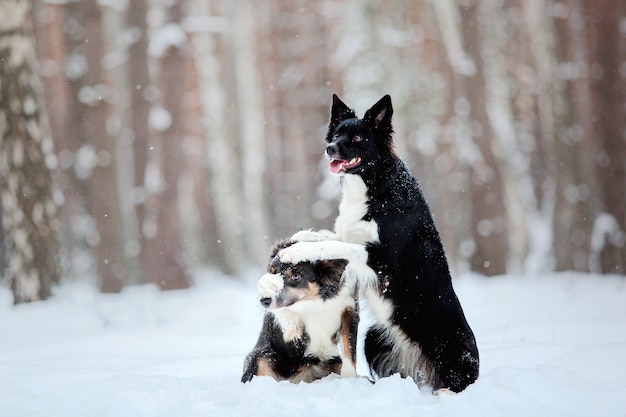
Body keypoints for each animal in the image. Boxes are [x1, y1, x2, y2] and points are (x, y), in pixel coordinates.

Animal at [241, 239, 358, 382]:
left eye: (296, 276)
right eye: (272, 272)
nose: (264, 300)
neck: (317, 302)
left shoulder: (349, 313)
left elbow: (349, 352)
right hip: (263, 357)